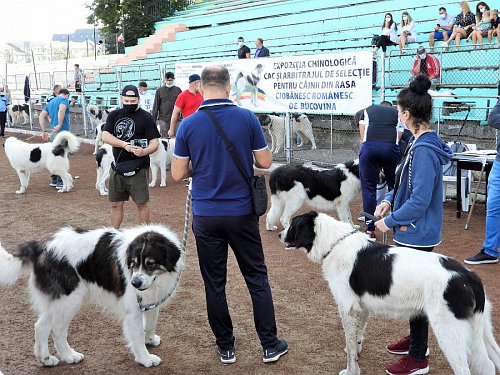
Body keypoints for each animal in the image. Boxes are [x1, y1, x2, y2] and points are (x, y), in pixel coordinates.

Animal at [0, 225, 185, 368]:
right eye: (133, 263)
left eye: (150, 263)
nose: (134, 283)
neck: (158, 278)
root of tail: (42, 246)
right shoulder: (133, 309)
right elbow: (137, 335)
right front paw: (145, 358)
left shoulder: (151, 301)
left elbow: (151, 324)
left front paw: (150, 339)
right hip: (70, 299)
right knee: (57, 329)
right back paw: (69, 356)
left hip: (58, 302)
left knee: (40, 326)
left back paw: (45, 359)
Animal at [280, 212, 500, 375]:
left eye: (293, 226)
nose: (280, 235)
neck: (336, 243)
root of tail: (468, 276)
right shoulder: (361, 308)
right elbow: (357, 337)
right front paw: (358, 352)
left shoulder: (348, 309)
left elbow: (350, 347)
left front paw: (351, 370)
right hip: (482, 329)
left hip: (449, 332)